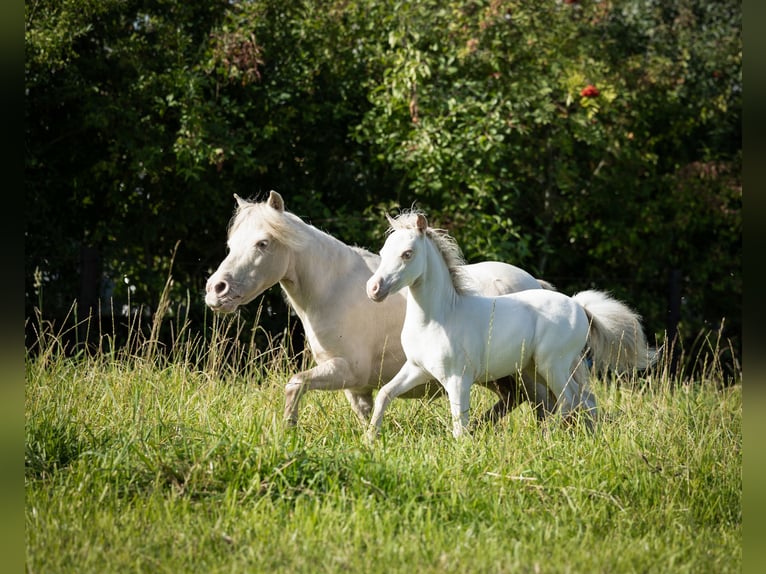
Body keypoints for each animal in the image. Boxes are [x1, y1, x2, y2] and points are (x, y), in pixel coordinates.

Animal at [207, 192, 556, 428]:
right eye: (230, 244)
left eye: (262, 243)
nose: (216, 290)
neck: (334, 289)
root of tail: (535, 284)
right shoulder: (355, 386)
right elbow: (366, 413)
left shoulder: (346, 370)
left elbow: (294, 385)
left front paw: (288, 431)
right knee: (516, 401)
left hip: (526, 374)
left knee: (545, 406)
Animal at [366, 212, 660, 440]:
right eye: (382, 252)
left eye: (408, 254)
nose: (374, 289)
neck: (440, 317)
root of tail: (579, 306)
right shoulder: (417, 369)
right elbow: (384, 394)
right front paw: (370, 439)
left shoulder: (458, 379)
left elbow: (459, 425)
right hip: (539, 368)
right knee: (583, 400)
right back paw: (587, 437)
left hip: (552, 365)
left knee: (567, 399)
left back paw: (550, 437)